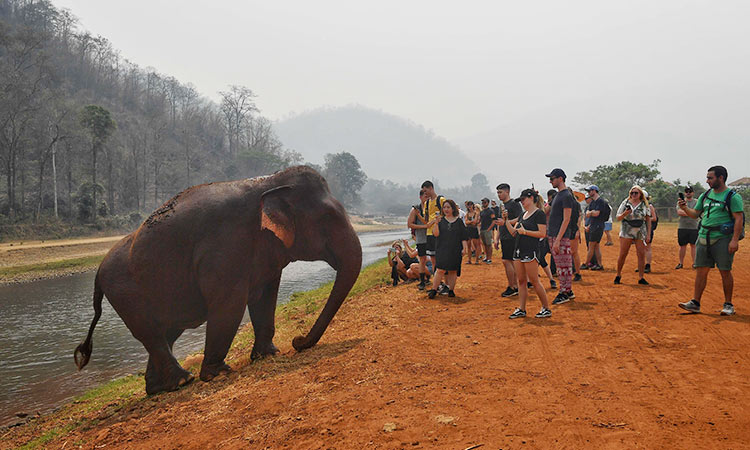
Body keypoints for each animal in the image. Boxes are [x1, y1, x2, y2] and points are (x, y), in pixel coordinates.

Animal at [74, 165, 364, 394]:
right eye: (328, 218)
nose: (297, 340)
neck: (271, 182)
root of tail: (98, 272)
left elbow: (265, 298)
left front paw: (268, 355)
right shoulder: (225, 247)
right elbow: (229, 305)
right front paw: (218, 373)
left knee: (168, 332)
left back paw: (159, 388)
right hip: (125, 294)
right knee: (151, 333)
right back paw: (183, 381)